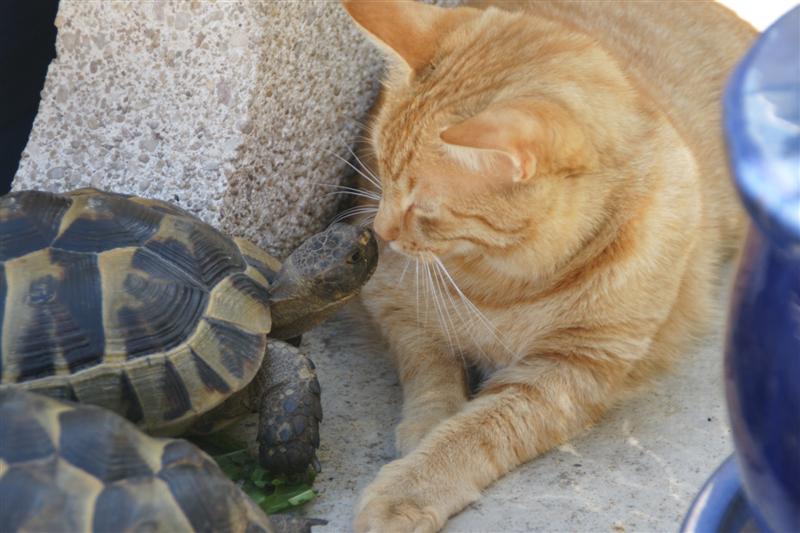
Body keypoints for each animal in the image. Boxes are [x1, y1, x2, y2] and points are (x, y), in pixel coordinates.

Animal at [340, 2, 752, 528]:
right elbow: (430, 365)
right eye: (382, 168)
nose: (381, 230)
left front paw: (411, 489)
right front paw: (427, 423)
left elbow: (481, 431)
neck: (503, 284)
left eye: (423, 209)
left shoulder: (575, 370)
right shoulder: (388, 301)